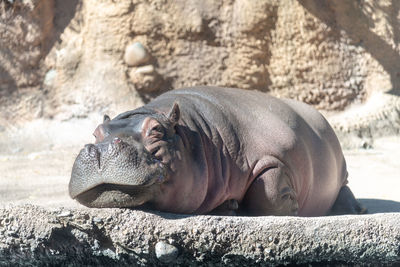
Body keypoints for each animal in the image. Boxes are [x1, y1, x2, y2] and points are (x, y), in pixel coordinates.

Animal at [69, 87, 366, 217]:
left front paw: (292, 208)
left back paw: (355, 209)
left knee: (345, 187)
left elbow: (268, 192)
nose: (100, 149)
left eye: (156, 130)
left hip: (342, 169)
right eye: (96, 132)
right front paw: (230, 206)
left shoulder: (274, 158)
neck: (196, 135)